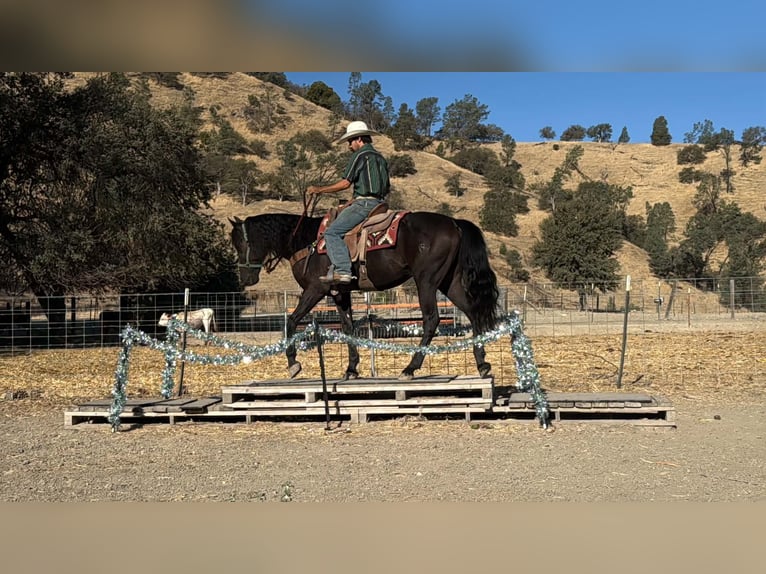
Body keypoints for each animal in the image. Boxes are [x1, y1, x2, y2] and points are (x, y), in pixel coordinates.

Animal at [229, 211, 500, 381]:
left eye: (241, 243)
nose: (244, 279)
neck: (306, 241)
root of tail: (454, 223)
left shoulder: (315, 289)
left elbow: (292, 321)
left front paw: (293, 364)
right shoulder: (340, 293)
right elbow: (348, 327)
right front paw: (351, 369)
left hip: (427, 281)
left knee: (431, 320)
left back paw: (410, 368)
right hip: (448, 281)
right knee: (473, 312)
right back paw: (482, 364)